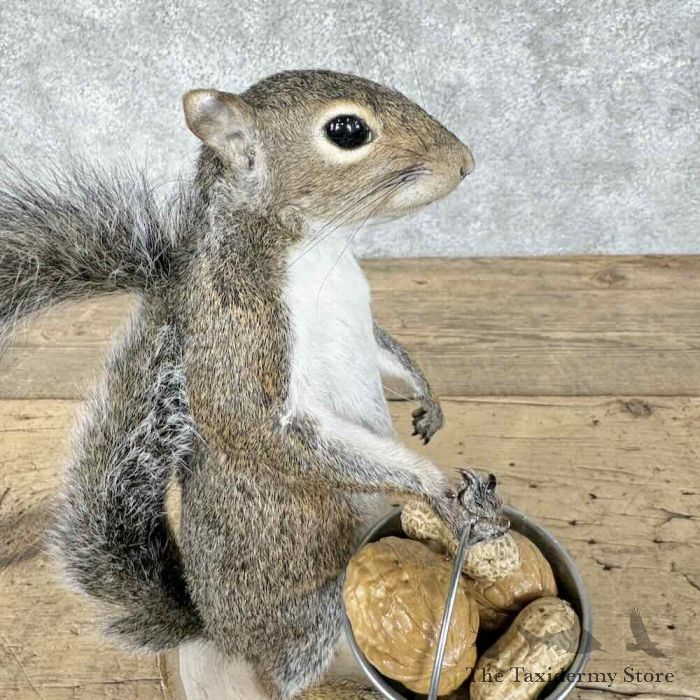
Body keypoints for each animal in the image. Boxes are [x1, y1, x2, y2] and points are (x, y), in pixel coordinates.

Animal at [0, 70, 508, 699]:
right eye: (347, 130)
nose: (464, 162)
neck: (316, 245)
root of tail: (216, 631)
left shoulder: (361, 323)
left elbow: (388, 351)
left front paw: (427, 398)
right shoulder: (244, 333)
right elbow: (272, 430)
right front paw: (433, 487)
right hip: (312, 609)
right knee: (278, 674)